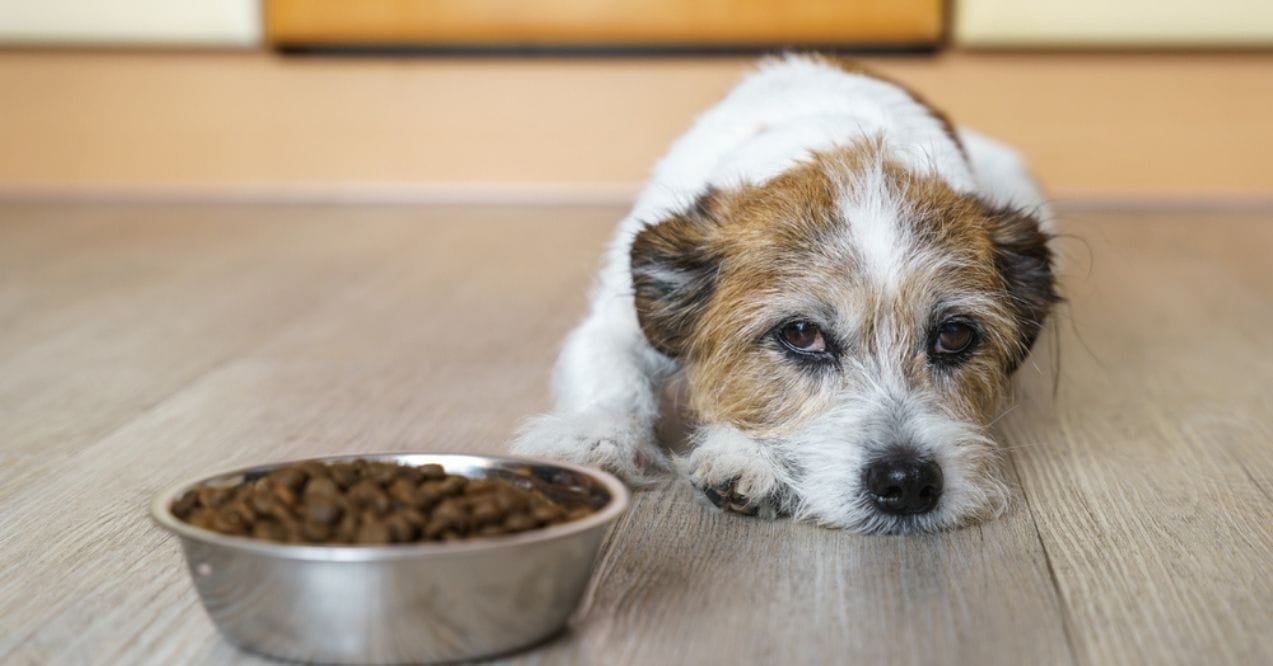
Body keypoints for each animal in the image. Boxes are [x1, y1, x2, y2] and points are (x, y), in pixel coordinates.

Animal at [511, 53, 1059, 537]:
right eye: (800, 334)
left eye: (955, 336)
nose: (907, 483)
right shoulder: (617, 319)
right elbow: (613, 374)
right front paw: (590, 435)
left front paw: (744, 453)